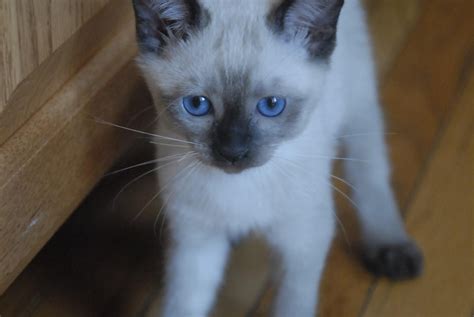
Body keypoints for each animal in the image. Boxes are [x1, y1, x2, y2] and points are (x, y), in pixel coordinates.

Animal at [131, 1, 424, 314]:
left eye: (271, 106)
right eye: (197, 105)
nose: (232, 152)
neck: (239, 192)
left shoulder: (302, 242)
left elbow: (293, 303)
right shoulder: (195, 243)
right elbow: (184, 304)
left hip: (359, 104)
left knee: (371, 174)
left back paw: (391, 246)